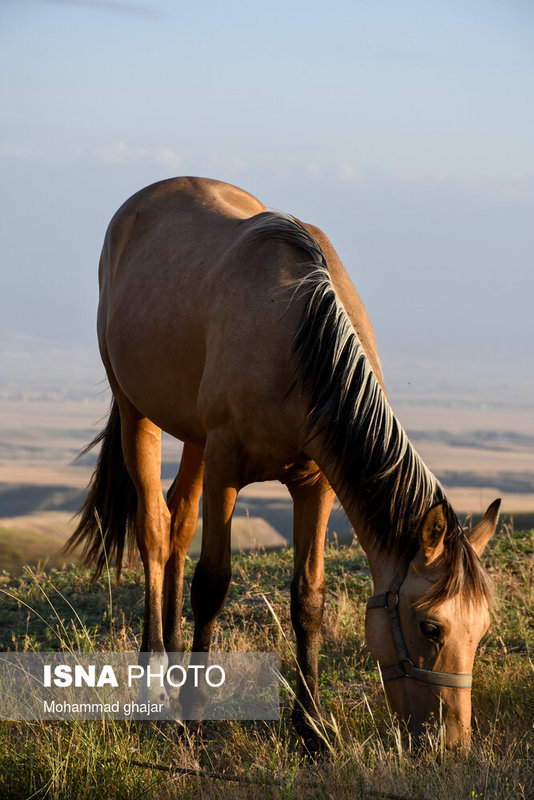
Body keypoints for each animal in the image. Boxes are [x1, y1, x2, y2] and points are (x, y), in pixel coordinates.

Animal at [68, 175, 502, 752]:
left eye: (481, 631)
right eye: (432, 627)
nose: (451, 743)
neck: (296, 339)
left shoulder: (315, 485)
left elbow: (307, 599)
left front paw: (312, 725)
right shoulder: (226, 469)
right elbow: (213, 584)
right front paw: (194, 716)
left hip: (194, 438)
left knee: (178, 525)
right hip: (138, 413)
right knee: (155, 532)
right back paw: (157, 682)